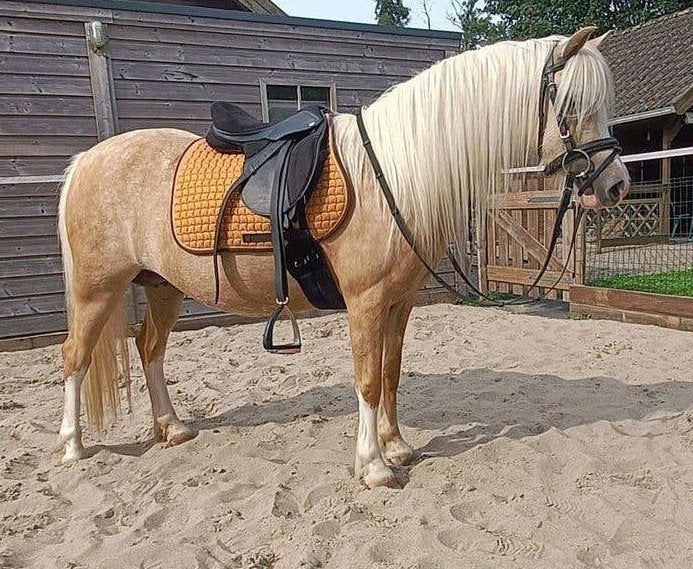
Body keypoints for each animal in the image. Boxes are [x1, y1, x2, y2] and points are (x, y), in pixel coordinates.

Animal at [55, 27, 629, 488]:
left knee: (150, 350)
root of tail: (86, 160)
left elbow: (391, 371)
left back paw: (171, 427)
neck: (396, 174)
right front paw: (373, 466)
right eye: (573, 105)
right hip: (97, 289)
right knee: (75, 357)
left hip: (162, 287)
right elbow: (368, 381)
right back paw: (73, 446)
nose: (617, 186)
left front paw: (397, 446)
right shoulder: (366, 302)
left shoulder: (400, 303)